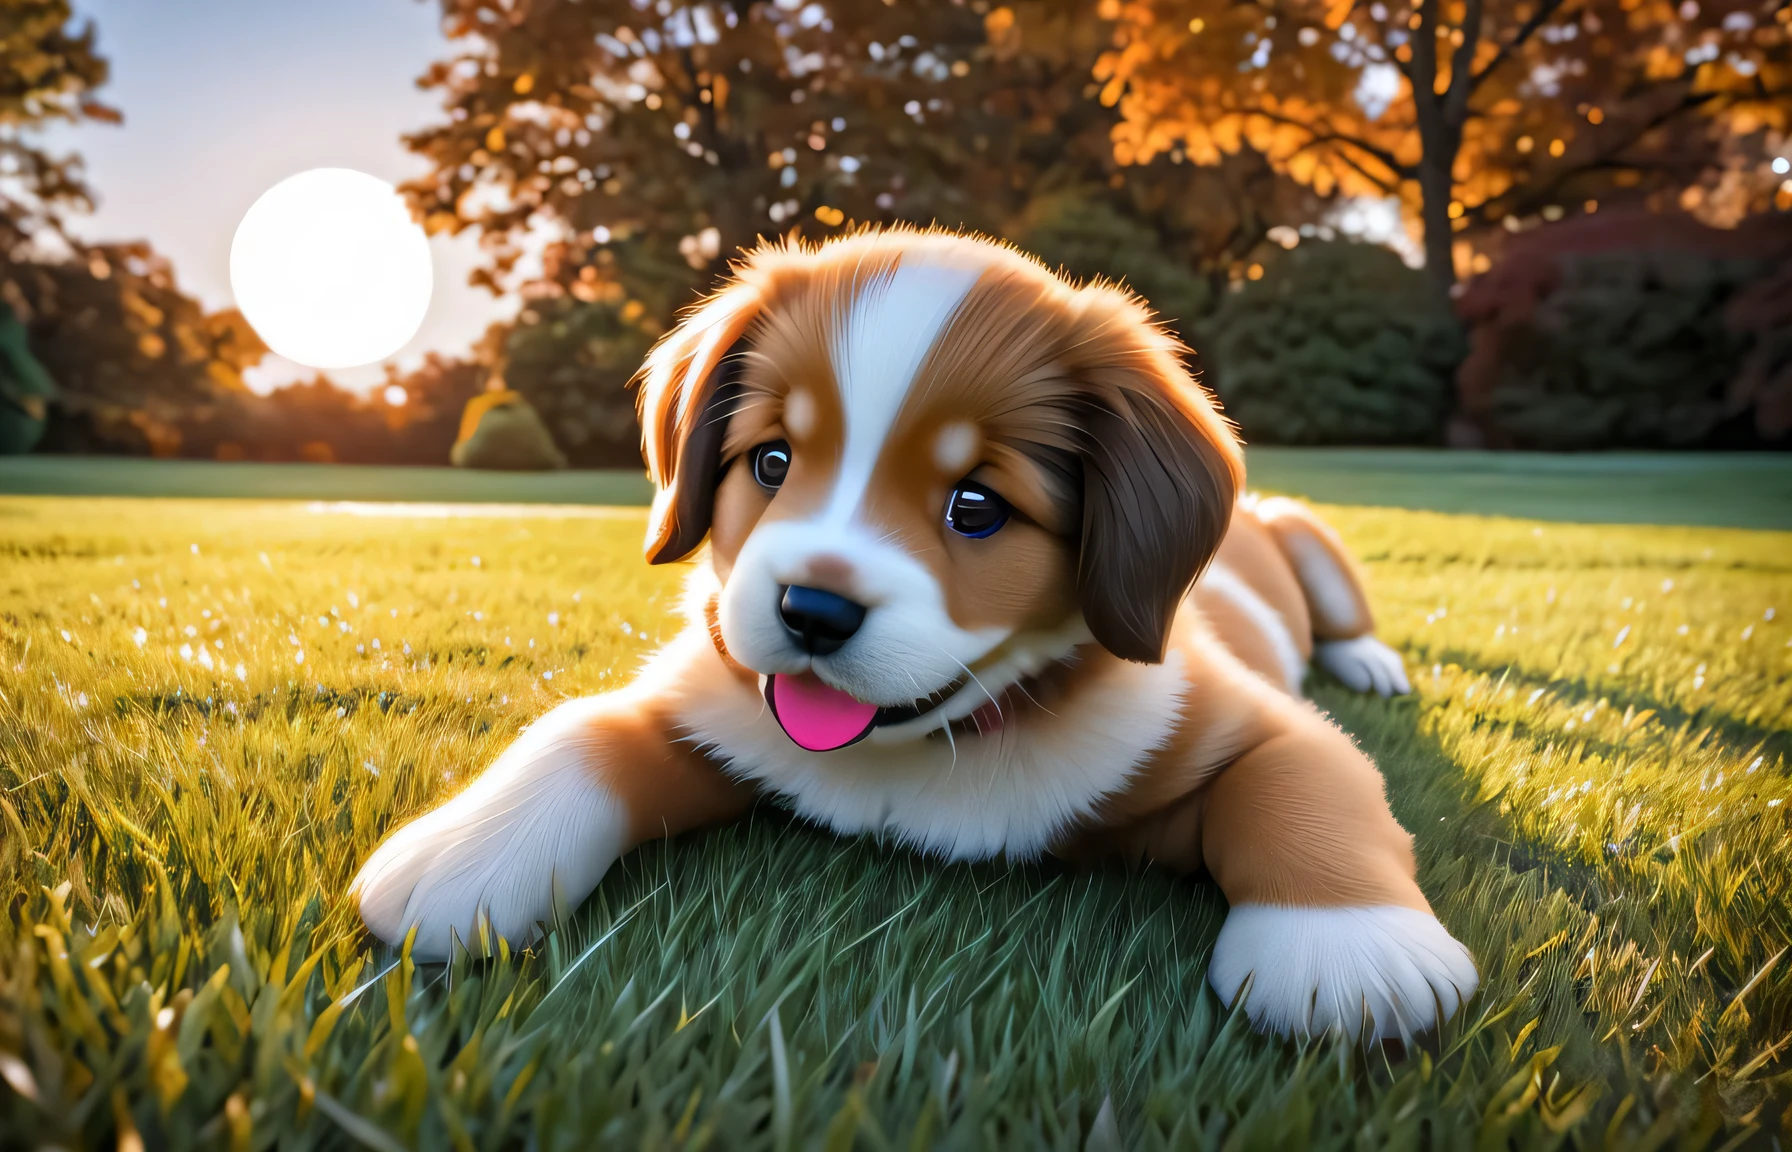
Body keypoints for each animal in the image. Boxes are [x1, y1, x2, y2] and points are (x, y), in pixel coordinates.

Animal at [349, 227, 1469, 1046]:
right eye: (771, 461)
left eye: (976, 506)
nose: (811, 610)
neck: (924, 750)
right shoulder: (705, 704)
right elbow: (582, 728)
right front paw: (462, 853)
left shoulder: (1249, 719)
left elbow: (1303, 786)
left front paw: (1347, 953)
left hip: (1309, 536)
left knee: (1345, 622)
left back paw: (1373, 662)